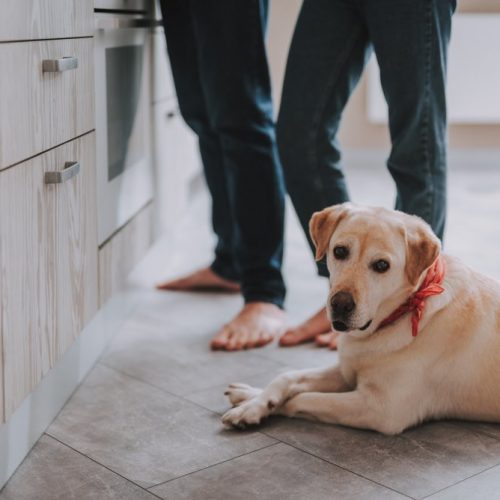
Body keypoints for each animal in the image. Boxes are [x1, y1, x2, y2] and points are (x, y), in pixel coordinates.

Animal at [221, 202, 500, 434]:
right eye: (340, 251)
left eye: (381, 265)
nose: (340, 304)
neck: (406, 309)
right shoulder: (346, 371)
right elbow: (288, 377)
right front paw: (252, 399)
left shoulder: (381, 409)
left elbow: (300, 398)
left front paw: (262, 406)